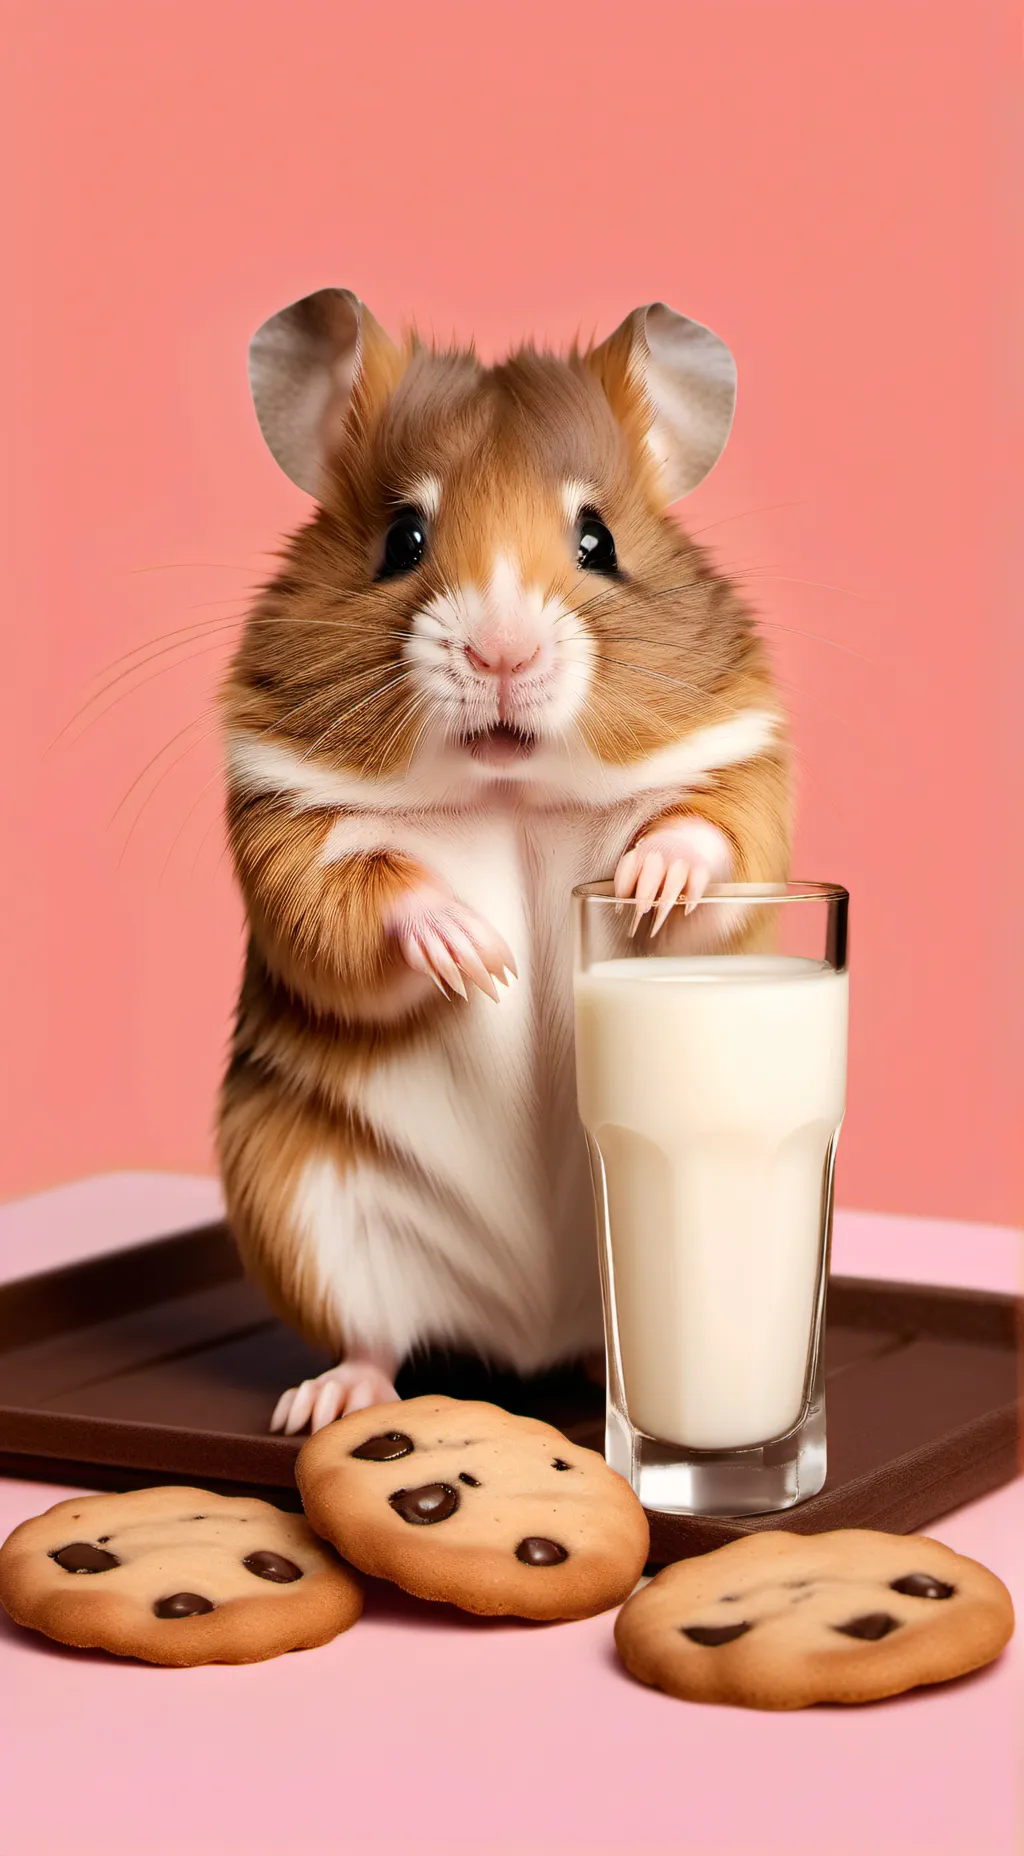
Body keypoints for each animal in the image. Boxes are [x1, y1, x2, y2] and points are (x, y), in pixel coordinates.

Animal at [216, 288, 791, 1435]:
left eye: (596, 537)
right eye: (403, 536)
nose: (501, 652)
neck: (508, 789)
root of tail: (528, 1328)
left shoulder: (743, 771)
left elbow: (714, 835)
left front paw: (651, 882)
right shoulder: (281, 831)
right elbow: (352, 901)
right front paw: (476, 958)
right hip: (301, 1203)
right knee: (374, 1339)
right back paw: (320, 1406)